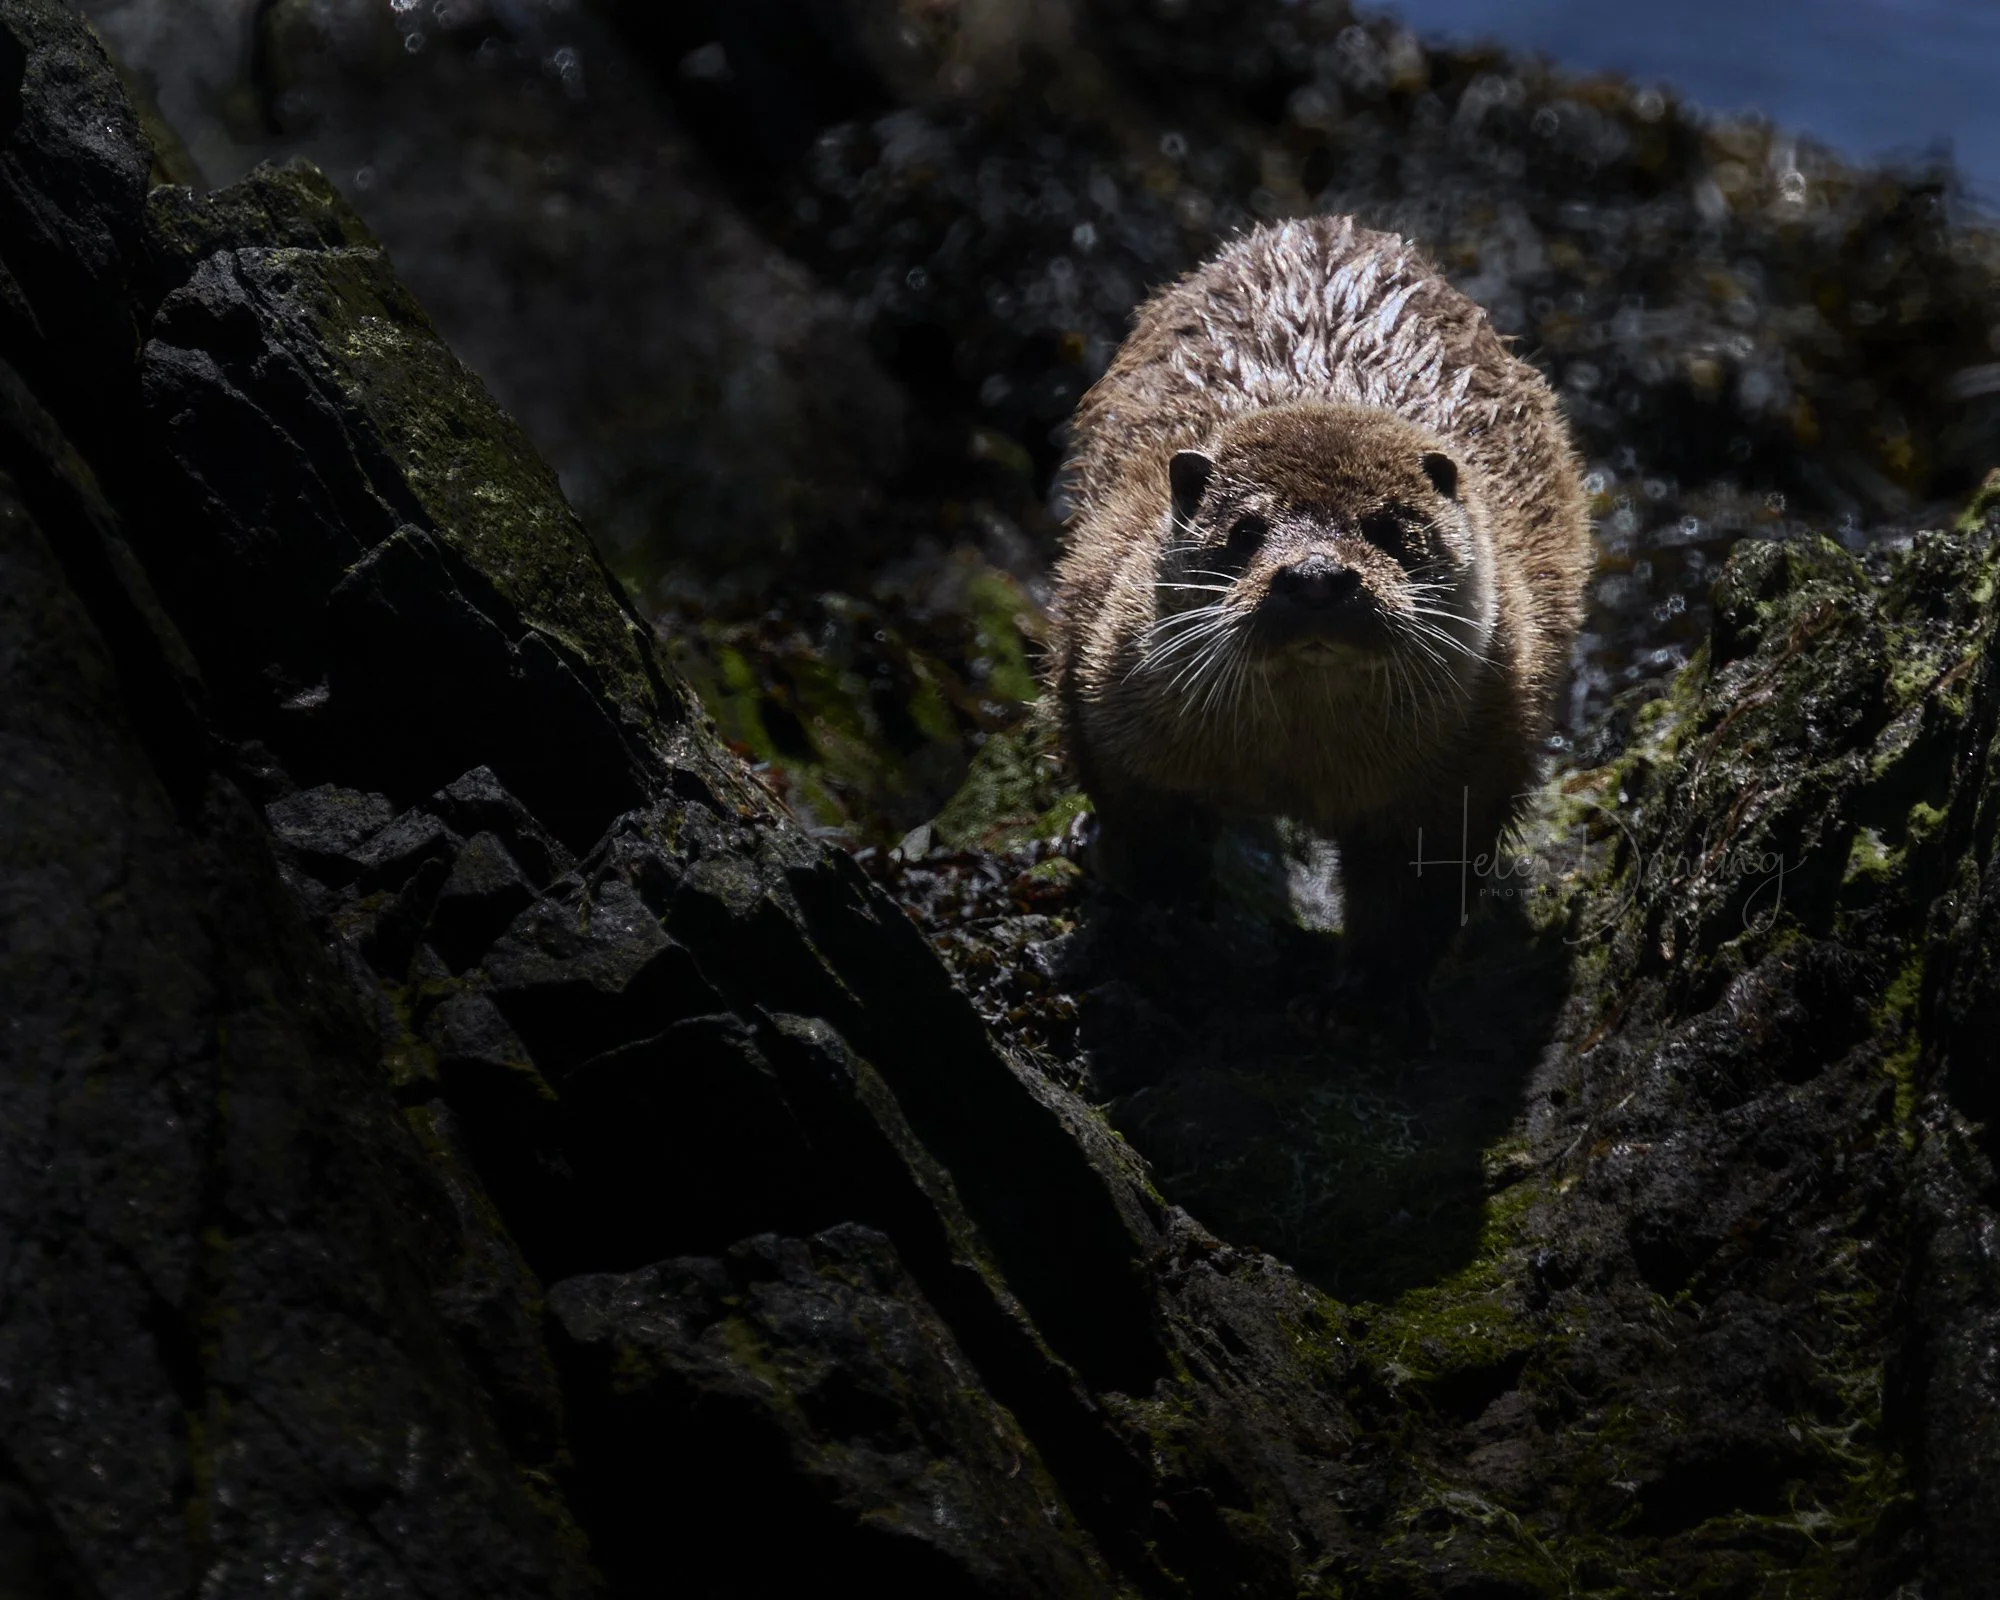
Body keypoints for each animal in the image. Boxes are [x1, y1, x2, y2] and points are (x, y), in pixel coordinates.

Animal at [1048, 215, 1593, 981]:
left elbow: (1414, 900)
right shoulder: (1101, 684)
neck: (1298, 769)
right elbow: (1143, 828)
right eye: (1245, 531)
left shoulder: (1473, 767)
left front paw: (1371, 989)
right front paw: (1153, 905)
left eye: (1389, 528)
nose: (1314, 577)